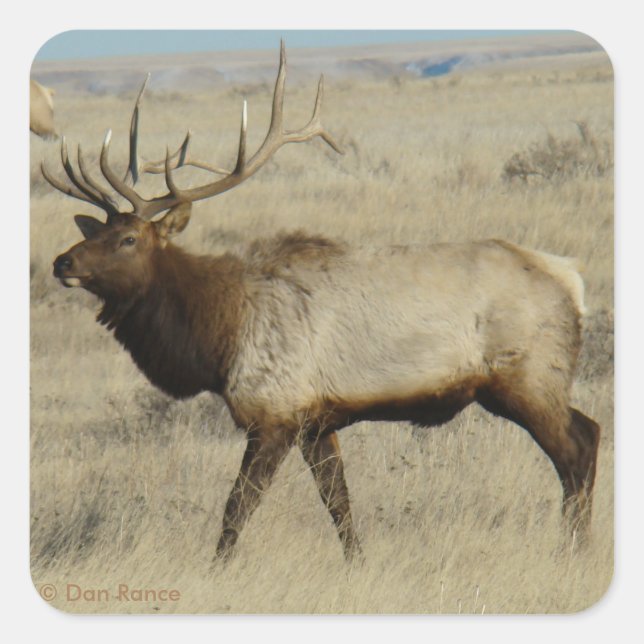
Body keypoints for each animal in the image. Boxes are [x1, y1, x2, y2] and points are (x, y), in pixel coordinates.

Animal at [44, 43, 600, 564]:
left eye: (129, 239)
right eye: (96, 232)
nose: (62, 262)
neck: (218, 334)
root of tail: (572, 279)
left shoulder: (275, 411)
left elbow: (237, 506)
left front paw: (216, 569)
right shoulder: (317, 420)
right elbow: (339, 503)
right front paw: (357, 563)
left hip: (526, 377)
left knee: (578, 446)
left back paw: (571, 550)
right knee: (589, 433)